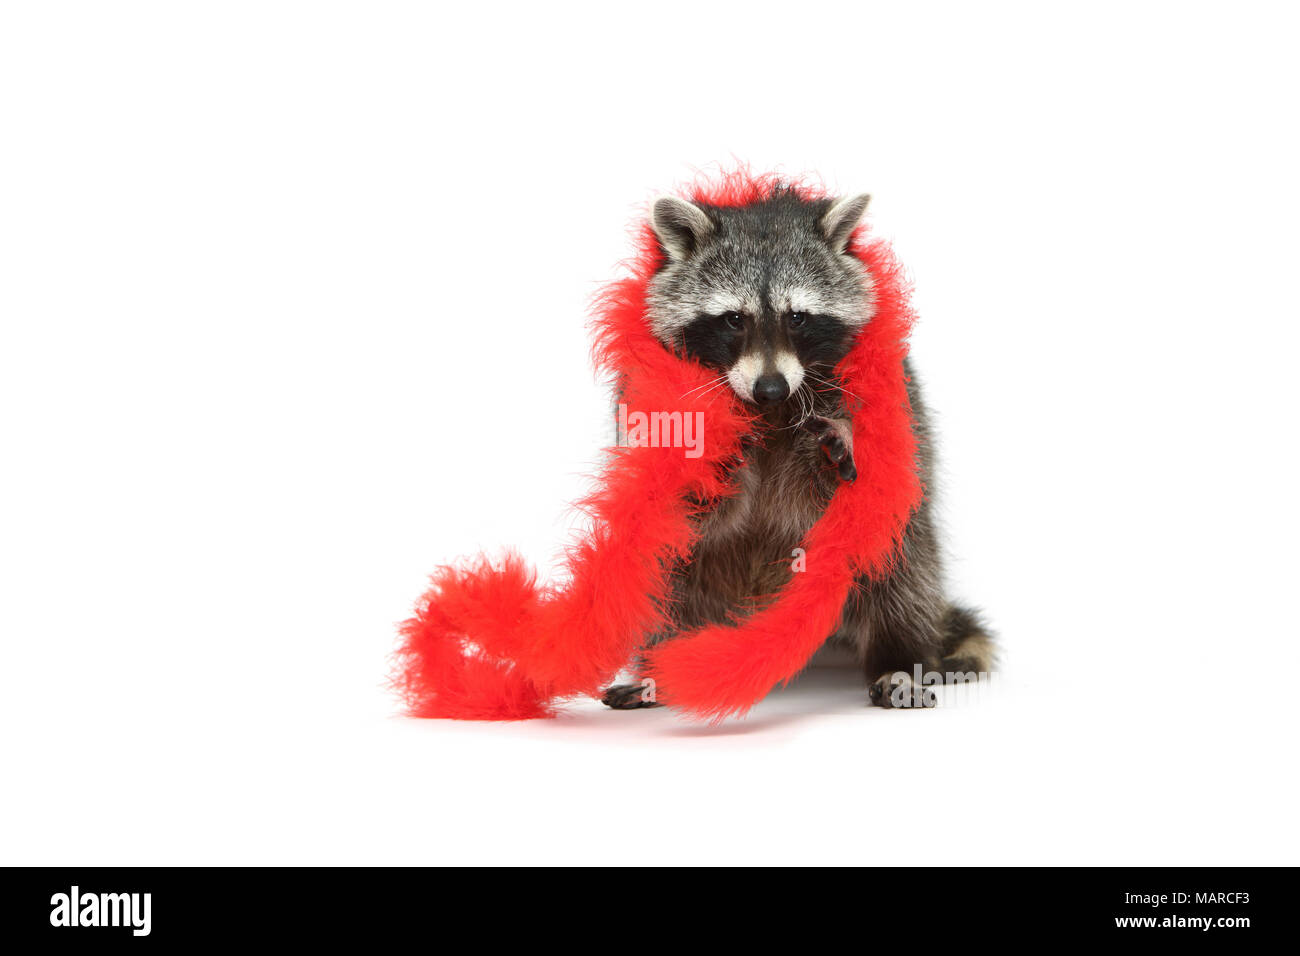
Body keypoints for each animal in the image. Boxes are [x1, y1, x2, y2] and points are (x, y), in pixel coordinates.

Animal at [600, 184, 993, 712]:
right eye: (733, 319)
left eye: (798, 317)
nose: (770, 388)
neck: (768, 412)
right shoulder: (644, 403)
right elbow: (692, 505)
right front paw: (707, 464)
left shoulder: (883, 402)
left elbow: (860, 487)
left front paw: (839, 448)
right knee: (656, 565)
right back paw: (659, 668)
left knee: (903, 560)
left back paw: (902, 658)